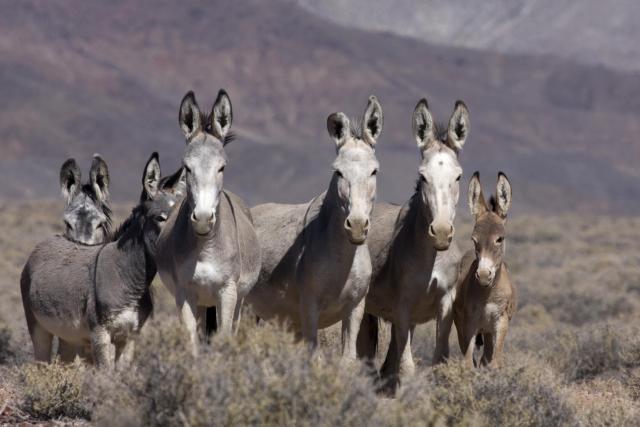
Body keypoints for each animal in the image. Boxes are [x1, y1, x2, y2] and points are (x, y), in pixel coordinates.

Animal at [452, 172, 516, 370]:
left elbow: (495, 362)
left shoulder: (501, 322)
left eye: (499, 239)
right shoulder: (469, 322)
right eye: (474, 240)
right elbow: (468, 362)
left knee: (486, 357)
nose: (483, 276)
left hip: (488, 330)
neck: (489, 294)